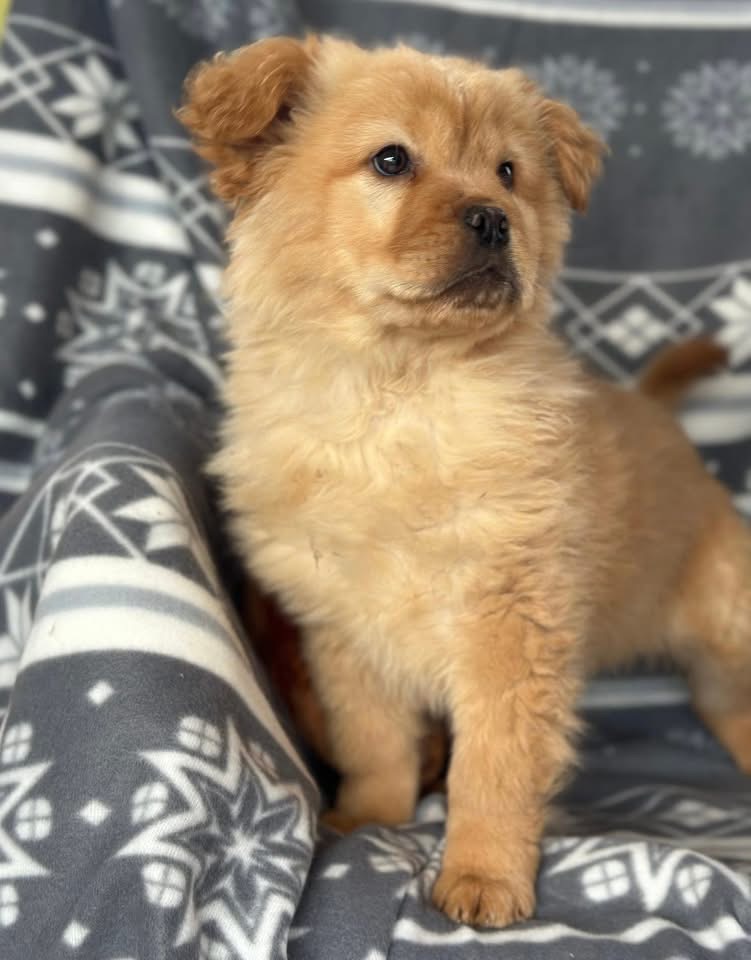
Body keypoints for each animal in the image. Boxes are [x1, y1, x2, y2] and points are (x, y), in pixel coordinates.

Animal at [179, 36, 751, 927]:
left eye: (508, 173)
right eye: (390, 159)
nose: (491, 217)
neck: (397, 392)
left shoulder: (509, 631)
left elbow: (492, 770)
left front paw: (483, 876)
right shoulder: (345, 631)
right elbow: (372, 742)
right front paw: (369, 820)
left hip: (725, 615)